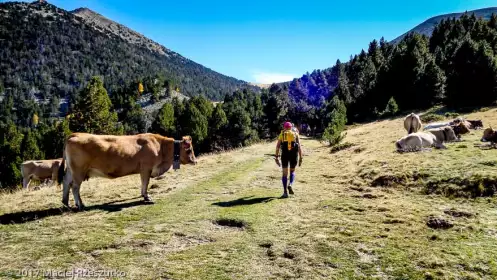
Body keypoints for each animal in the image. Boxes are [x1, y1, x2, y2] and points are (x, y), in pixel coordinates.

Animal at [57, 133, 197, 210]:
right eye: (189, 149)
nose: (195, 161)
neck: (160, 147)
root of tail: (75, 134)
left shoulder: (144, 170)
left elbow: (143, 183)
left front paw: (143, 195)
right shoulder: (146, 168)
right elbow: (145, 183)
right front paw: (147, 197)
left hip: (71, 170)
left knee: (66, 182)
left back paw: (66, 203)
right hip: (78, 170)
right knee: (75, 187)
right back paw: (80, 205)